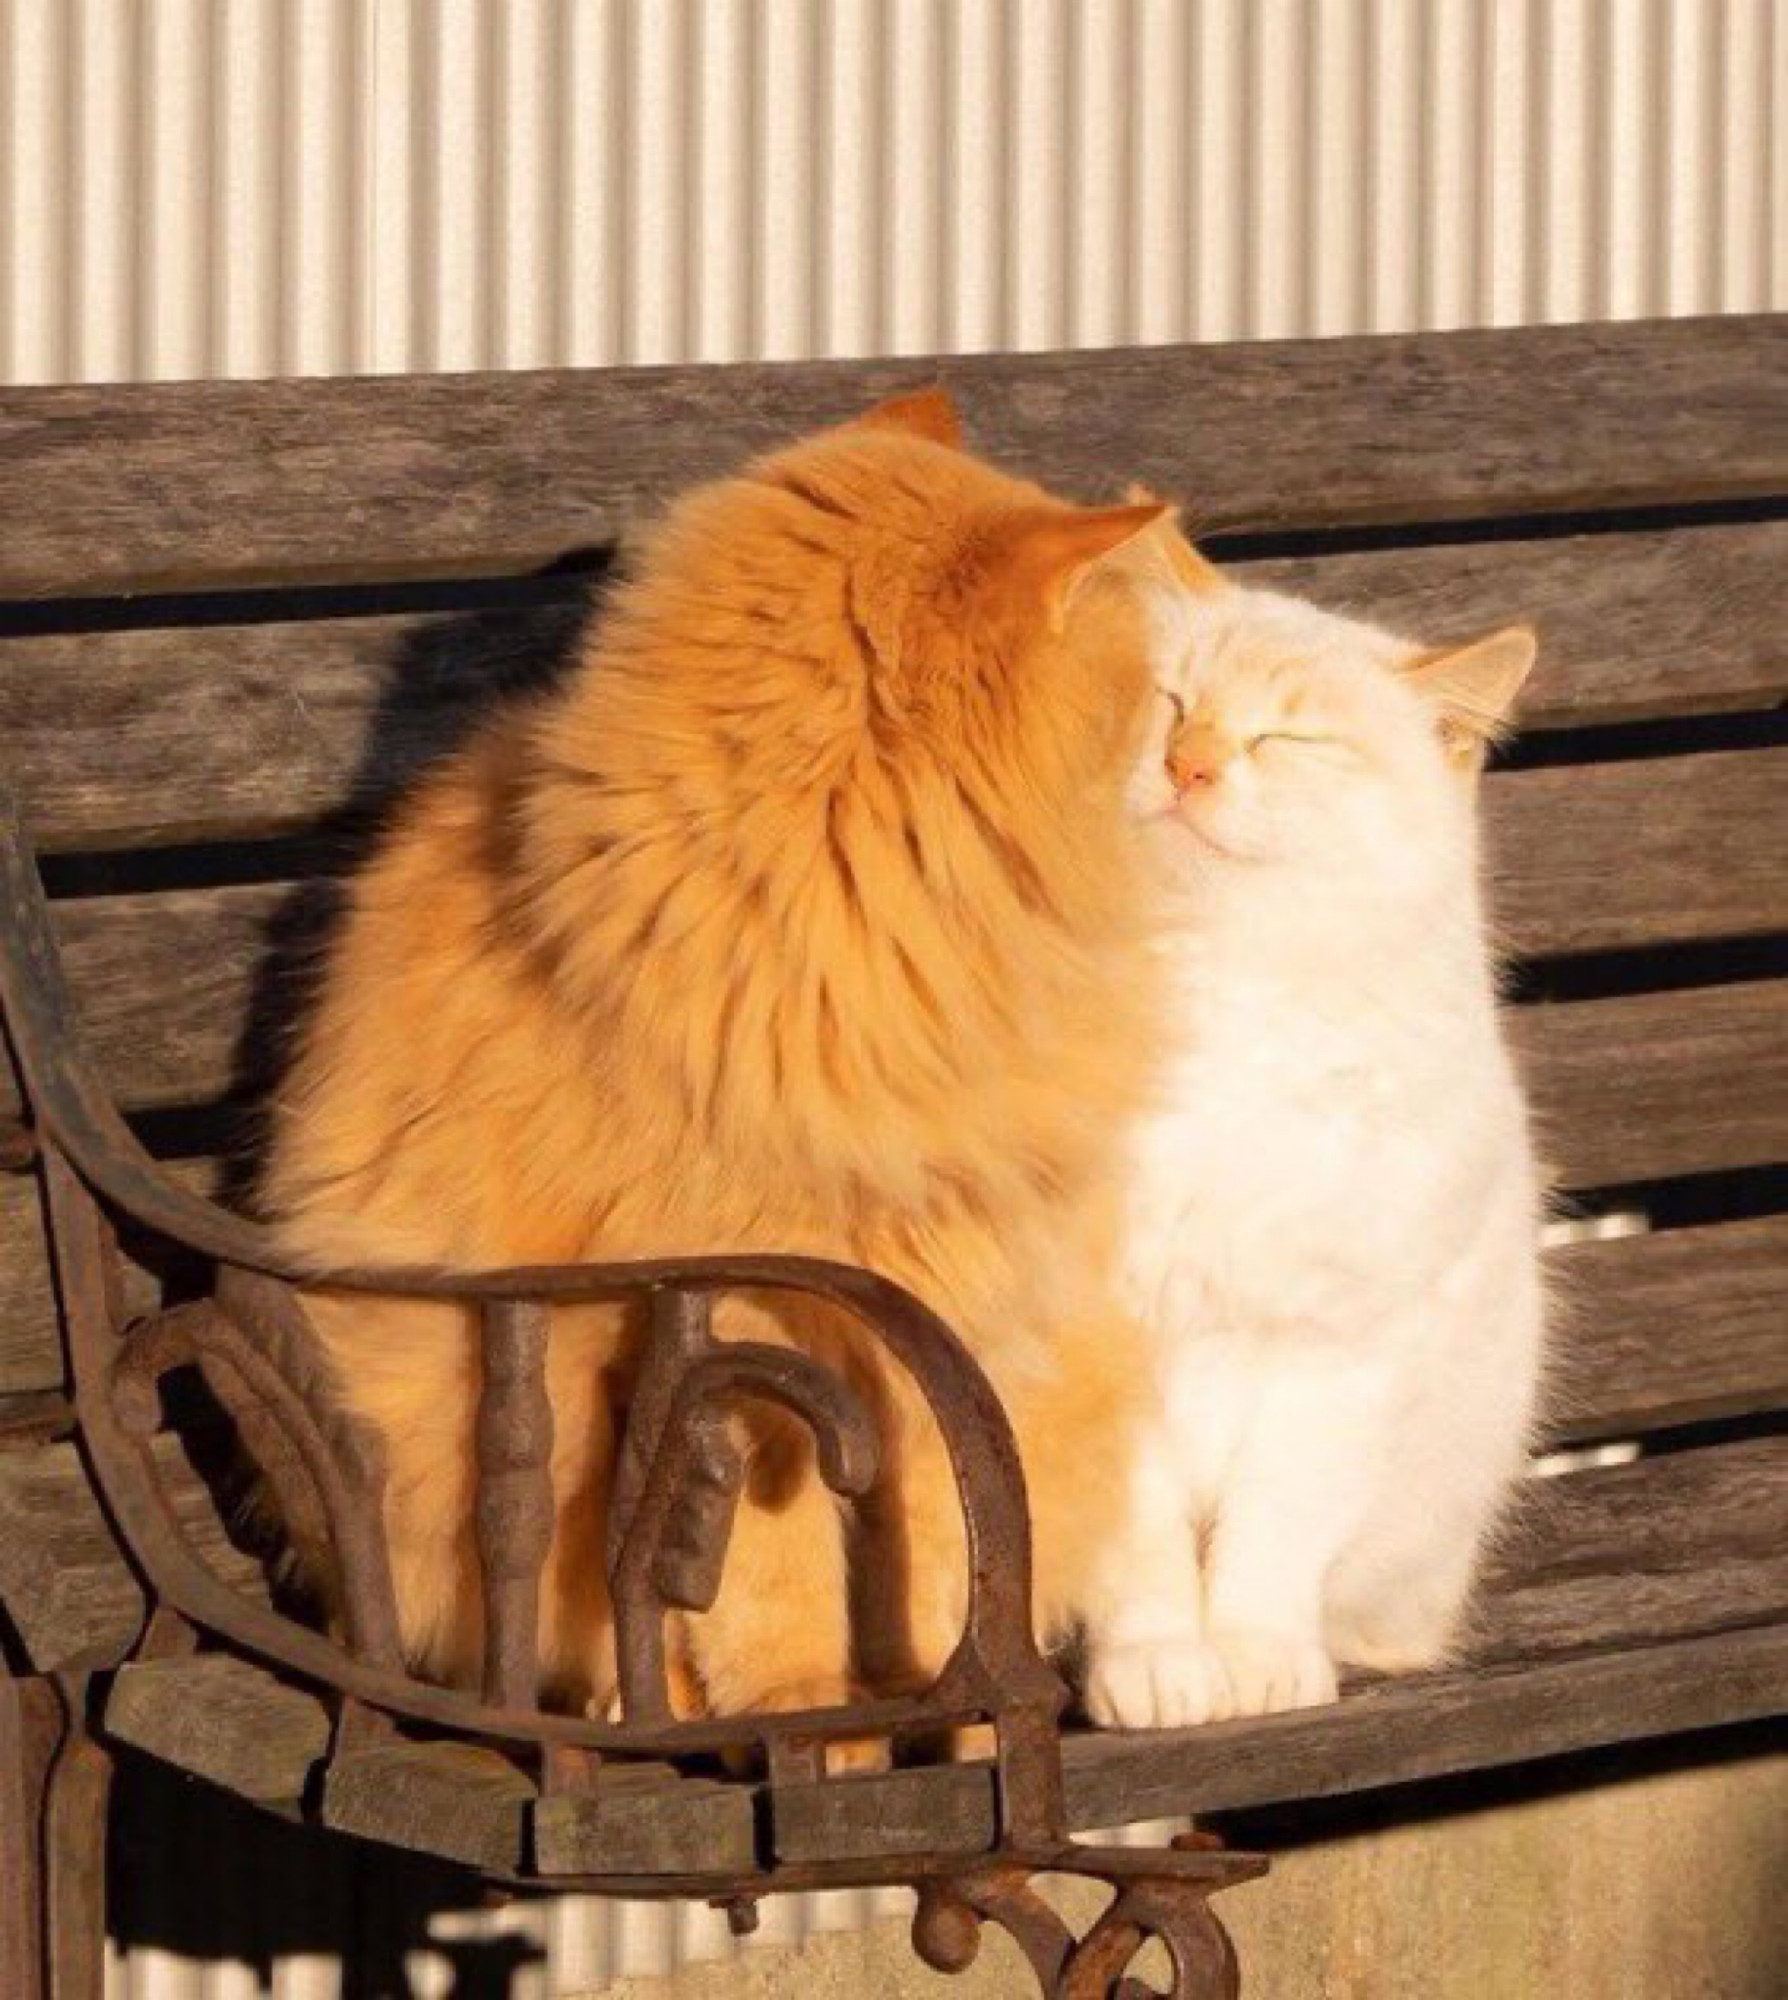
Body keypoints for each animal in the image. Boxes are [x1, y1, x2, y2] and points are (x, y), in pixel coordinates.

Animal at [260, 390, 1168, 1720]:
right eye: (1149, 697)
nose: (1188, 752)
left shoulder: (936, 1332)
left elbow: (939, 1563)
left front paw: (930, 1705)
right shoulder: (744, 1338)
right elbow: (766, 1598)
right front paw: (823, 1719)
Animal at [1088, 524, 1544, 1728]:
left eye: (1288, 738)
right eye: (1172, 701)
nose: (1190, 764)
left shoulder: (1337, 1348)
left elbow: (1274, 1535)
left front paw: (1260, 1662)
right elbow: (1142, 1554)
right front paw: (1156, 1669)